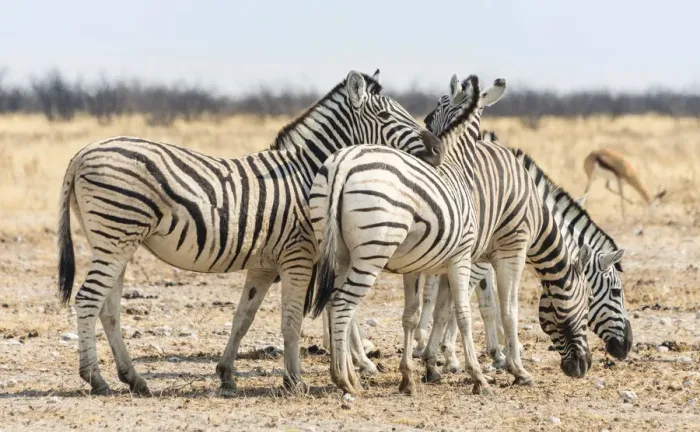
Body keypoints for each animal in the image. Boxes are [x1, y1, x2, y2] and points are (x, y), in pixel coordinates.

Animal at [56, 69, 445, 395]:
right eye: (386, 117)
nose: (438, 149)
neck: (308, 174)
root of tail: (81, 154)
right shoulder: (297, 257)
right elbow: (291, 321)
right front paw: (294, 381)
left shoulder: (264, 265)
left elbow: (243, 317)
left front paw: (227, 374)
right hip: (116, 233)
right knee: (88, 300)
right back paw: (96, 379)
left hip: (115, 241)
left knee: (108, 309)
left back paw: (133, 379)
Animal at [305, 74, 506, 397]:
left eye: (430, 114)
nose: (435, 150)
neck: (458, 165)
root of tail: (342, 164)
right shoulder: (461, 257)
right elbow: (463, 314)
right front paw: (478, 377)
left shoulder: (413, 266)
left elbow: (410, 315)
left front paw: (408, 377)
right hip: (372, 252)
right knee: (342, 305)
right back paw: (344, 379)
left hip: (337, 250)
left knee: (336, 305)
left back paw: (350, 375)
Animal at [415, 134, 630, 374]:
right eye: (615, 292)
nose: (627, 346)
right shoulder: (481, 257)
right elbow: (469, 299)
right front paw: (451, 355)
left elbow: (486, 300)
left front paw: (497, 352)